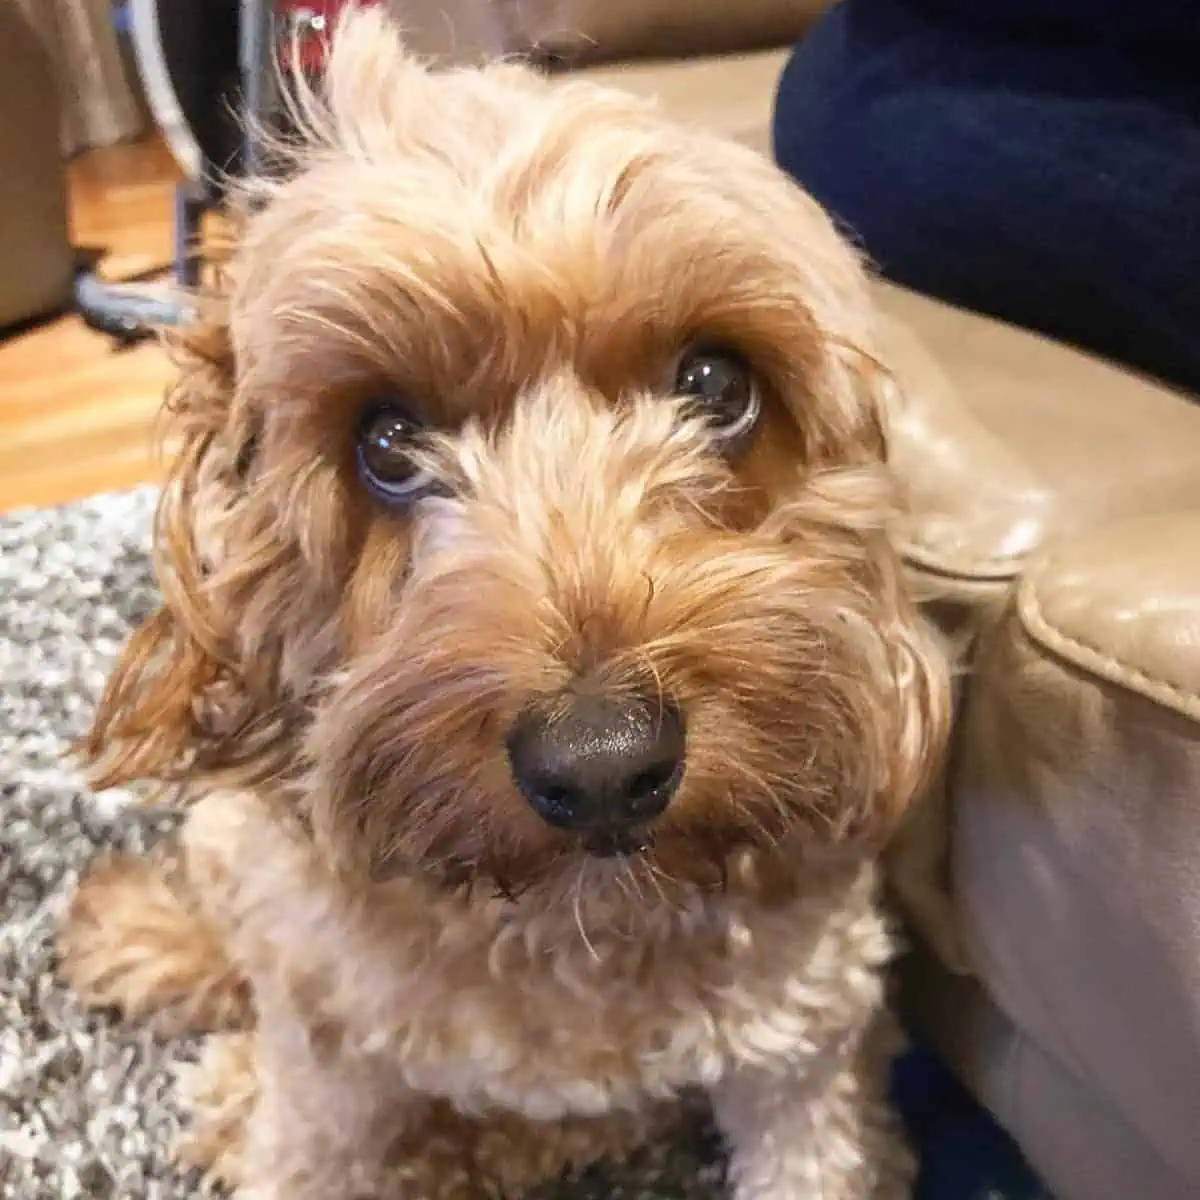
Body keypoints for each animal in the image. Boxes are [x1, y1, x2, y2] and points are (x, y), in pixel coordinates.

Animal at [60, 8, 950, 1198]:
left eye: (716, 384)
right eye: (387, 442)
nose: (604, 765)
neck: (573, 927)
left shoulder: (803, 1047)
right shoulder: (329, 1066)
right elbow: (298, 1134)